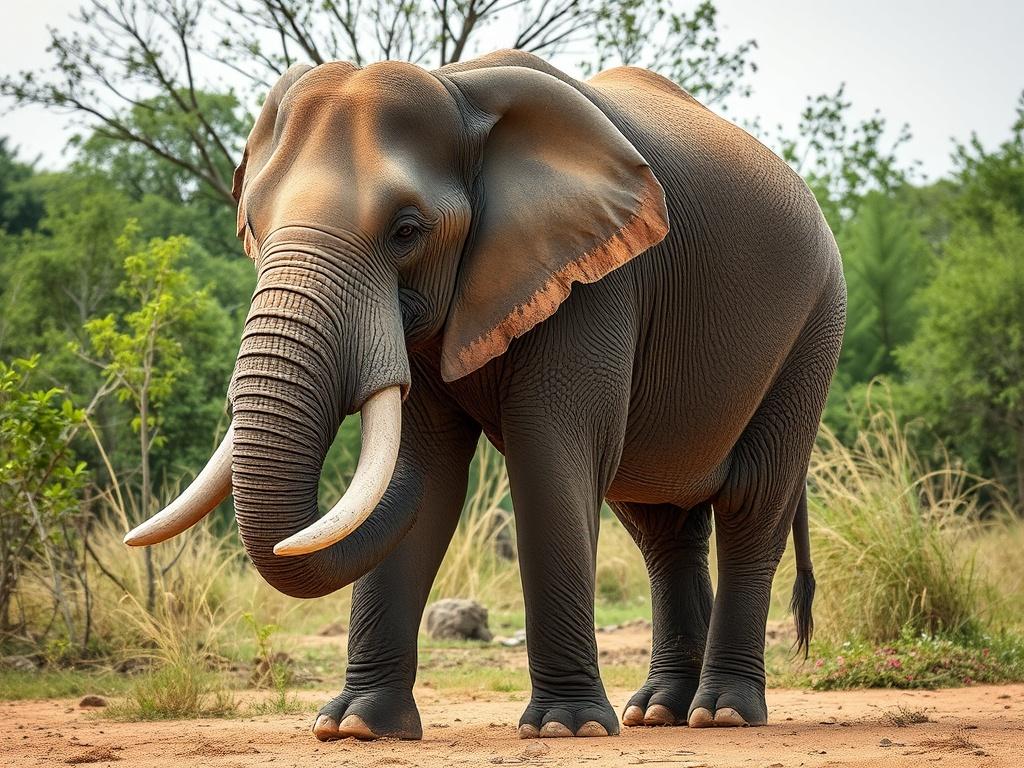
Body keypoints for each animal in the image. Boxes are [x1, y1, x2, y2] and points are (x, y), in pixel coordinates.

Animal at [124, 49, 845, 741]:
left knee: (752, 503)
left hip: (815, 326)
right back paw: (663, 712)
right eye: (253, 222)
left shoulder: (596, 280)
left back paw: (722, 713)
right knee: (659, 524)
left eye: (407, 230)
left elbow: (550, 461)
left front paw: (565, 728)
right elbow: (427, 468)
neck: (458, 89)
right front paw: (356, 727)